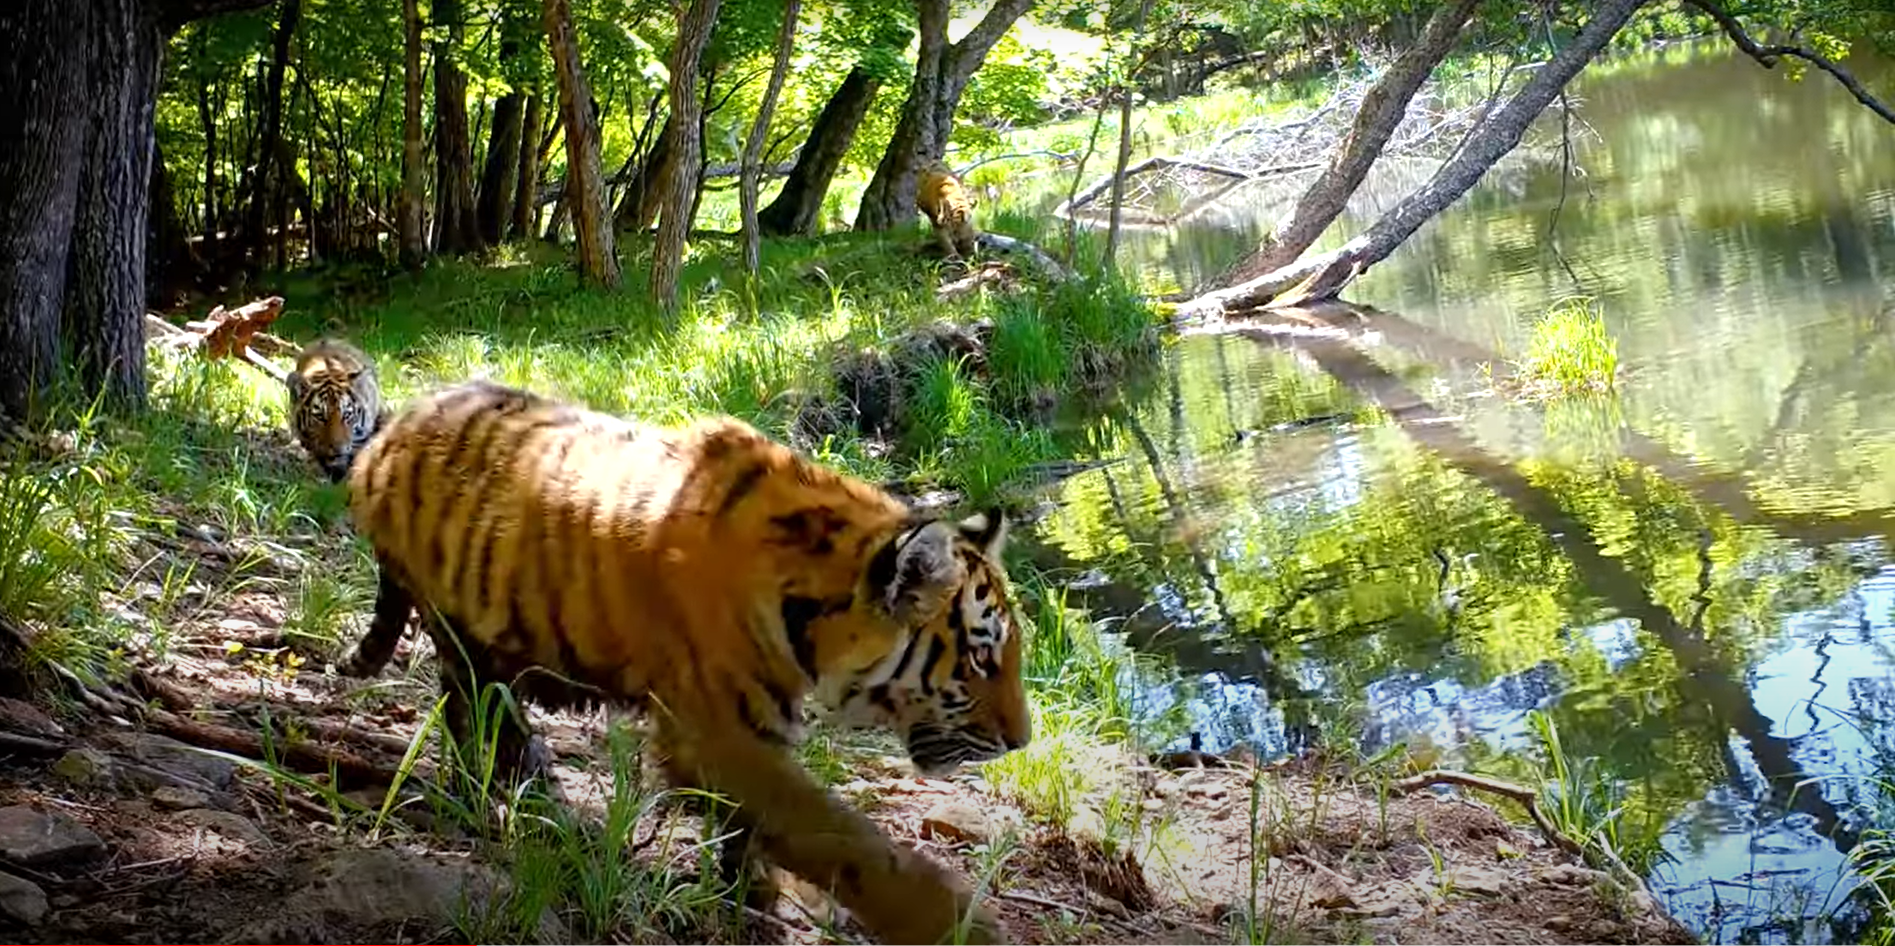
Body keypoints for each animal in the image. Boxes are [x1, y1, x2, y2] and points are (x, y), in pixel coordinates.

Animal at [333, 379, 1030, 946]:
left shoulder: (759, 729)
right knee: (478, 717)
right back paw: (535, 807)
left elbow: (760, 834)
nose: (1022, 742)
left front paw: (757, 903)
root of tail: (387, 431)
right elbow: (844, 834)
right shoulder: (716, 735)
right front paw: (963, 926)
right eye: (980, 657)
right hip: (460, 636)